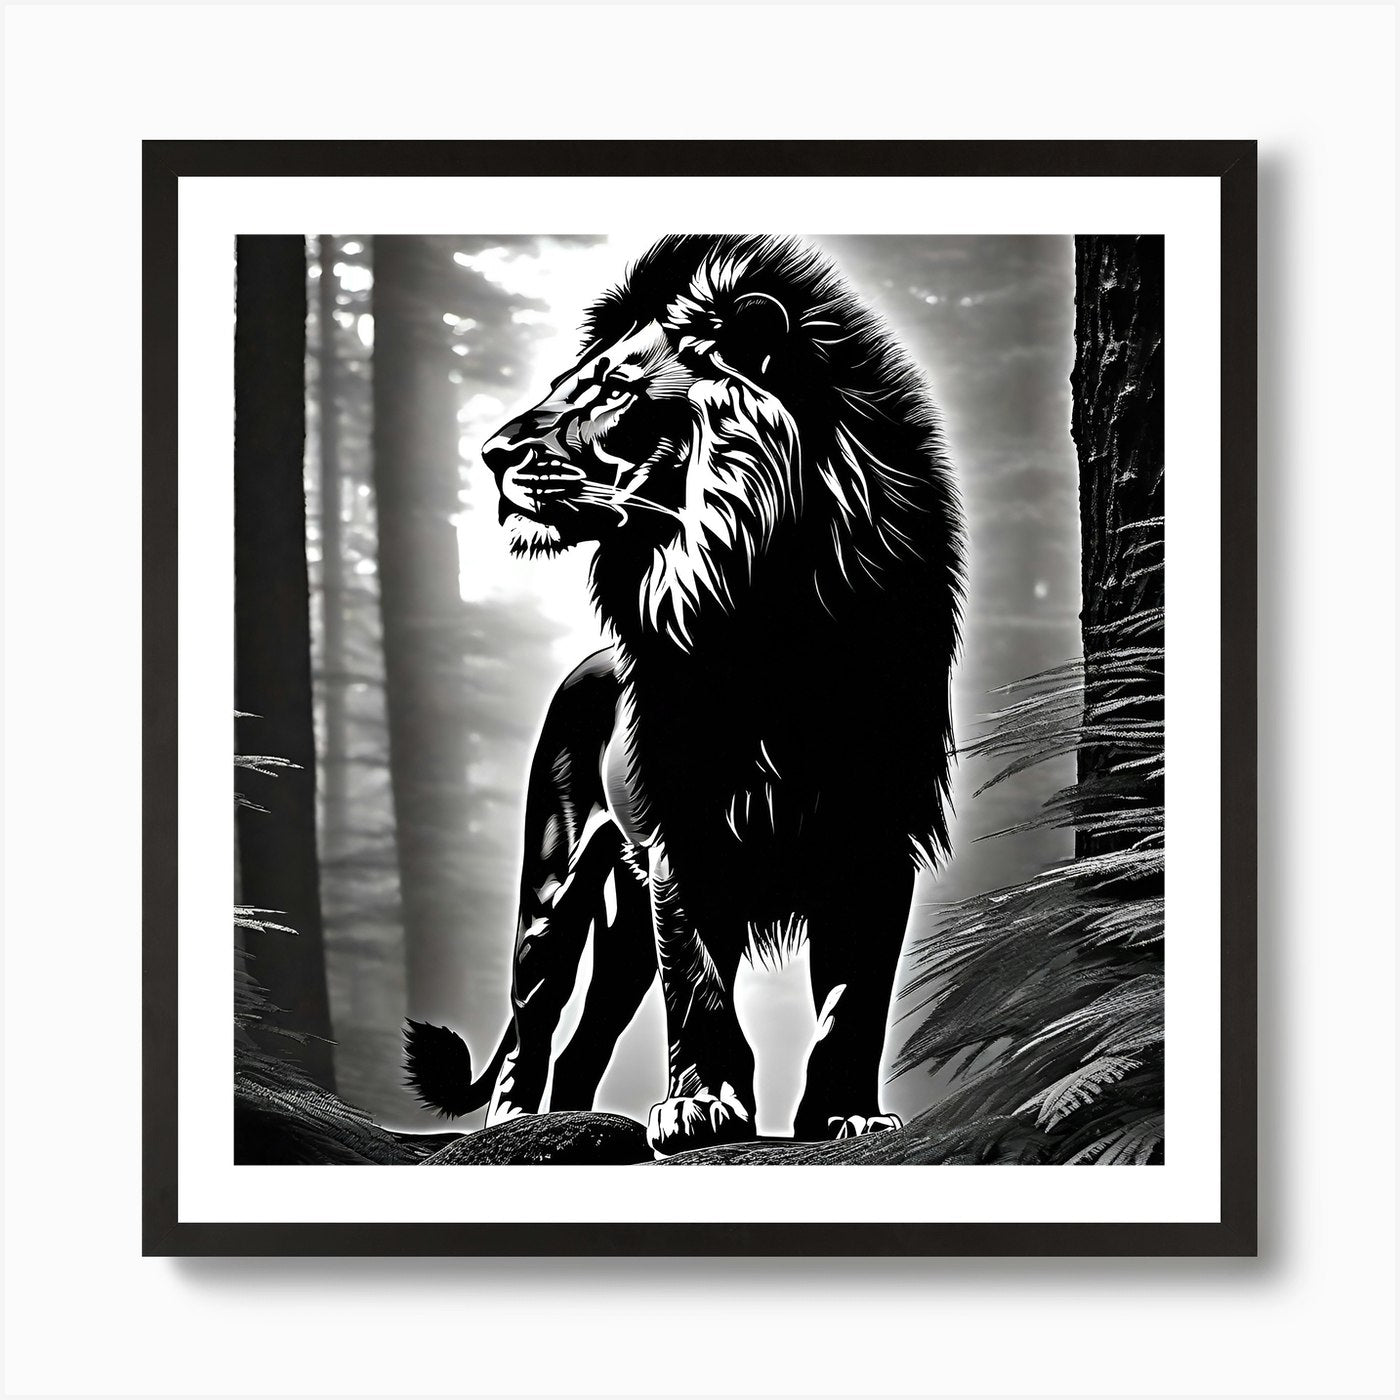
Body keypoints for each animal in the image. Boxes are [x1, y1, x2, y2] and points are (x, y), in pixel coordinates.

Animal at [404, 234, 964, 1156]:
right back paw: (517, 1123)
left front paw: (845, 1114)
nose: (488, 453)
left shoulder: (876, 836)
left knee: (588, 1038)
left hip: (628, 925)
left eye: (615, 389)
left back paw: (575, 1123)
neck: (762, 598)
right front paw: (701, 1107)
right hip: (555, 892)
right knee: (533, 1019)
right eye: (564, 383)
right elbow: (700, 989)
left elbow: (854, 1000)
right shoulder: (686, 833)